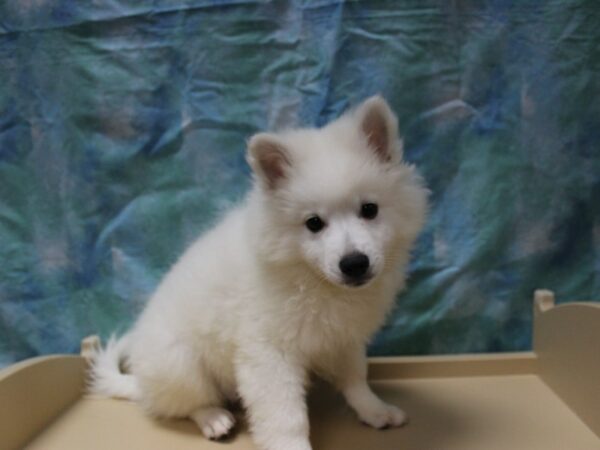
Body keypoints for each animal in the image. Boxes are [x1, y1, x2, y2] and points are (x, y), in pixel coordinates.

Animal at [90, 96, 426, 450]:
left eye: (369, 210)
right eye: (314, 223)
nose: (354, 264)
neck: (313, 280)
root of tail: (140, 382)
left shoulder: (342, 338)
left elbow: (356, 378)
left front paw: (375, 410)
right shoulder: (269, 352)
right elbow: (285, 415)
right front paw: (293, 447)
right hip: (179, 363)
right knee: (187, 403)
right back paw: (214, 418)